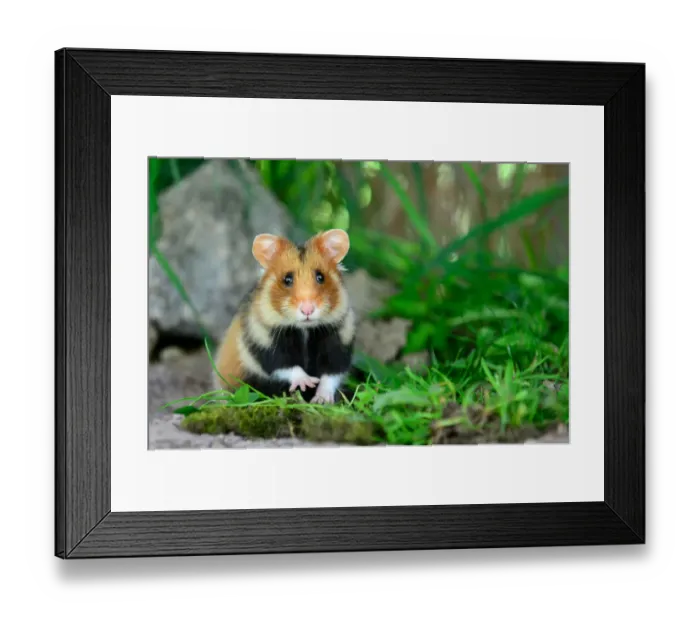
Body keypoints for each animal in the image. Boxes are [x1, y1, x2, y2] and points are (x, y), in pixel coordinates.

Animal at [212, 228, 356, 404]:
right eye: (287, 279)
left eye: (320, 277)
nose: (307, 310)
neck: (304, 329)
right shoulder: (264, 343)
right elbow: (287, 366)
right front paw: (308, 382)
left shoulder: (340, 340)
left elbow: (331, 375)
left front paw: (321, 399)